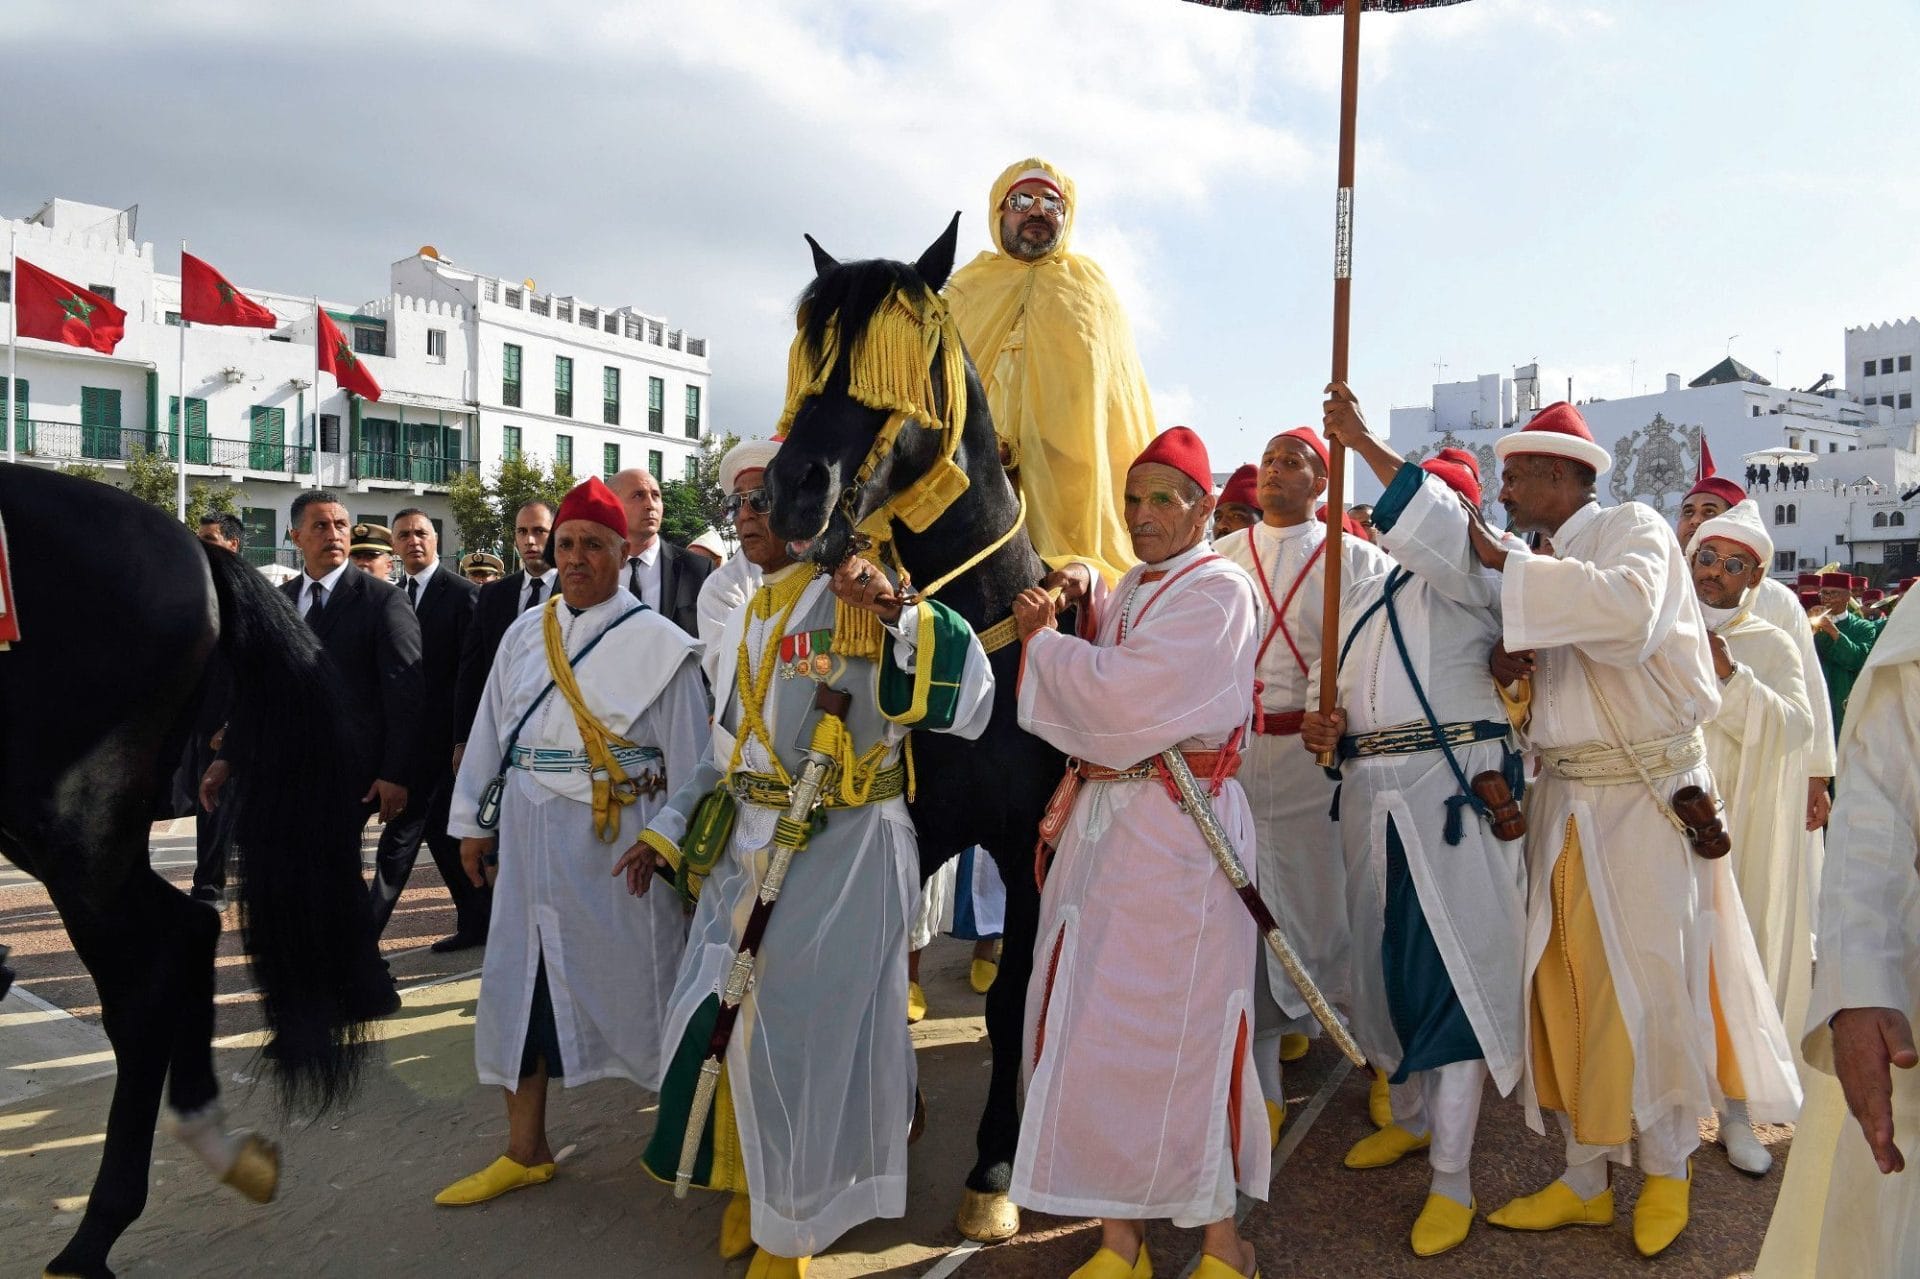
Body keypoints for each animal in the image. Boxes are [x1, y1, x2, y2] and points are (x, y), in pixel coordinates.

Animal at [764, 217, 1067, 1236]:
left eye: (899, 363)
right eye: (813, 359)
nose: (791, 487)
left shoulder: (1026, 848)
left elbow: (1011, 994)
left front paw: (994, 1165)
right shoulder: (917, 821)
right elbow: (885, 949)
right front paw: (896, 1107)